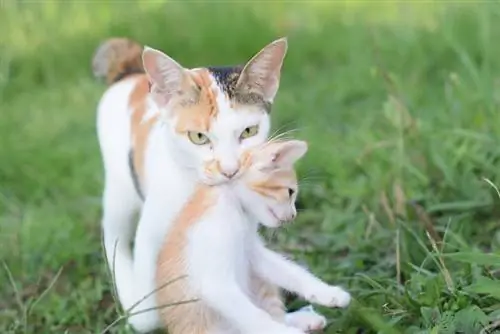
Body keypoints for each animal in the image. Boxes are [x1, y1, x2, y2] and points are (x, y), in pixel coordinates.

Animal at [93, 37, 290, 332]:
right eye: (198, 137)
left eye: (249, 132)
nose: (230, 170)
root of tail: (130, 73)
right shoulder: (153, 232)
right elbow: (149, 312)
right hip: (119, 189)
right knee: (112, 231)